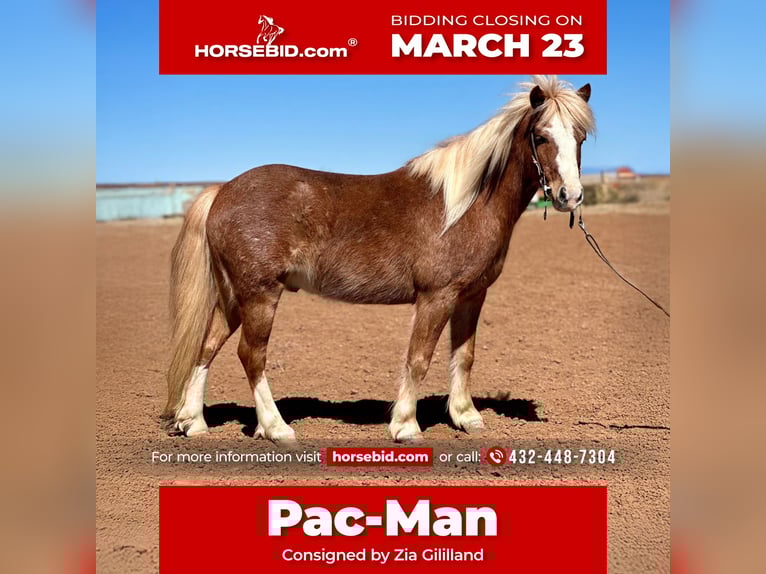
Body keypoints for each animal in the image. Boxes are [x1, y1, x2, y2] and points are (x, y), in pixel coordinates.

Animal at [161, 76, 594, 444]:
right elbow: (418, 359)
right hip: (259, 296)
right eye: (541, 136)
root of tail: (221, 191)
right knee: (251, 356)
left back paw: (193, 422)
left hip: (234, 297)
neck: (466, 205)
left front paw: (466, 417)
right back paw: (276, 428)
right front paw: (405, 426)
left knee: (207, 346)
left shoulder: (471, 296)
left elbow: (464, 356)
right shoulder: (436, 296)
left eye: (580, 137)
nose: (570, 196)